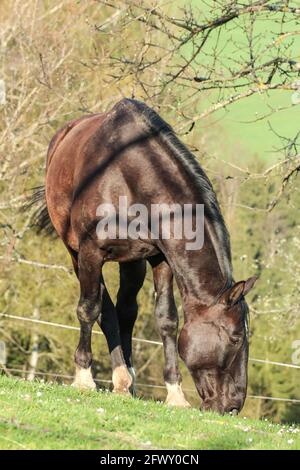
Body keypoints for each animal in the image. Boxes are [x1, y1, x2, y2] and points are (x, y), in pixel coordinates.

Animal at [32, 97, 258, 414]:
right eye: (236, 337)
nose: (234, 406)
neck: (128, 177)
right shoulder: (90, 252)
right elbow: (89, 308)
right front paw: (84, 378)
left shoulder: (160, 259)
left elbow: (167, 320)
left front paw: (175, 393)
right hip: (76, 254)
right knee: (103, 308)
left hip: (132, 262)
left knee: (125, 311)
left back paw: (125, 379)